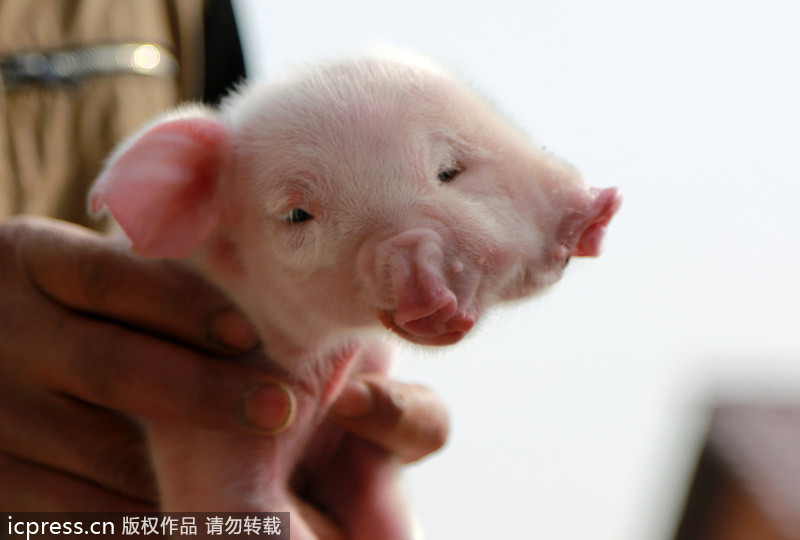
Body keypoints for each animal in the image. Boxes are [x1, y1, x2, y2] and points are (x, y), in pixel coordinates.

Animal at [89, 48, 621, 539]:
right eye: (297, 215)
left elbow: (384, 508)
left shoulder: (364, 433)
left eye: (450, 169)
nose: (417, 263)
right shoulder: (206, 434)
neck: (329, 355)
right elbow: (234, 499)